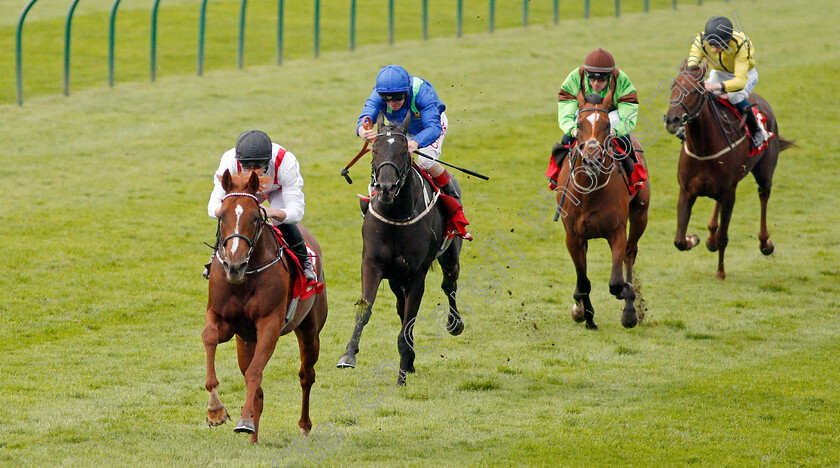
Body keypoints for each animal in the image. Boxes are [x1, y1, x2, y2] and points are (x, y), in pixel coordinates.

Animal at [203, 169, 328, 442]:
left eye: (254, 218)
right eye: (222, 215)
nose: (234, 265)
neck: (245, 277)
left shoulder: (270, 324)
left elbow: (254, 373)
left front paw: (242, 420)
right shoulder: (223, 319)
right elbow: (209, 337)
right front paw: (216, 411)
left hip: (310, 329)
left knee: (306, 375)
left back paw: (303, 425)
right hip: (245, 341)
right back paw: (253, 435)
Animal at [336, 111, 466, 386]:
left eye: (403, 151)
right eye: (374, 150)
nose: (386, 188)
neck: (396, 215)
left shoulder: (417, 274)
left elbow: (409, 321)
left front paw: (402, 376)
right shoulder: (372, 264)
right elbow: (365, 308)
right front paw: (348, 355)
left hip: (450, 256)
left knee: (449, 285)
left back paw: (454, 324)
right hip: (396, 278)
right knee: (400, 305)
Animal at [556, 89, 648, 330]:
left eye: (607, 125)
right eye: (579, 124)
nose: (592, 159)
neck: (590, 193)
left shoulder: (617, 231)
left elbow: (616, 281)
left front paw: (625, 293)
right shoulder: (573, 236)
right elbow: (583, 280)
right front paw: (585, 314)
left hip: (640, 214)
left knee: (630, 253)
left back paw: (630, 309)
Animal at [664, 58, 796, 278]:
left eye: (694, 91)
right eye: (674, 87)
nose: (671, 120)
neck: (703, 149)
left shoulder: (729, 194)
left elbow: (724, 237)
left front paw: (720, 272)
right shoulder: (686, 191)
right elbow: (679, 241)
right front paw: (694, 238)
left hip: (764, 172)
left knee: (764, 196)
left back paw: (765, 243)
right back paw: (710, 237)